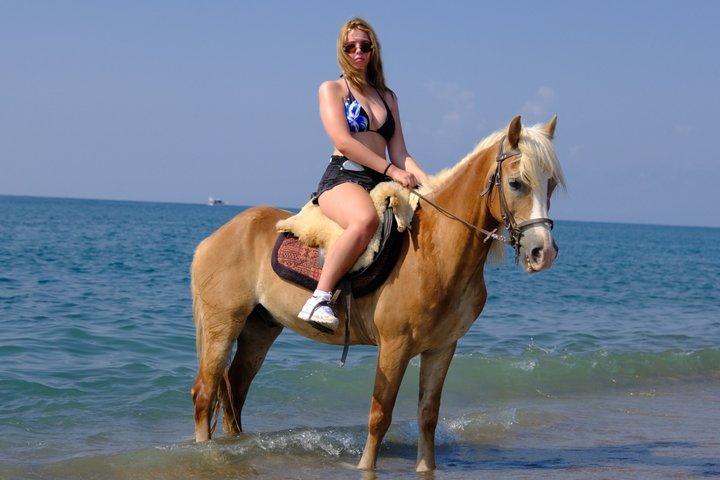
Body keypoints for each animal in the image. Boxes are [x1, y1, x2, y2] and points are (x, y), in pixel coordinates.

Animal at [190, 115, 565, 472]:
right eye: (516, 183)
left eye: (551, 184)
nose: (542, 252)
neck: (436, 251)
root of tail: (215, 237)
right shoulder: (395, 346)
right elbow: (379, 415)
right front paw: (365, 466)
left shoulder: (441, 348)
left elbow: (428, 416)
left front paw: (425, 467)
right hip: (222, 324)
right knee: (206, 392)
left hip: (260, 328)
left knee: (235, 390)